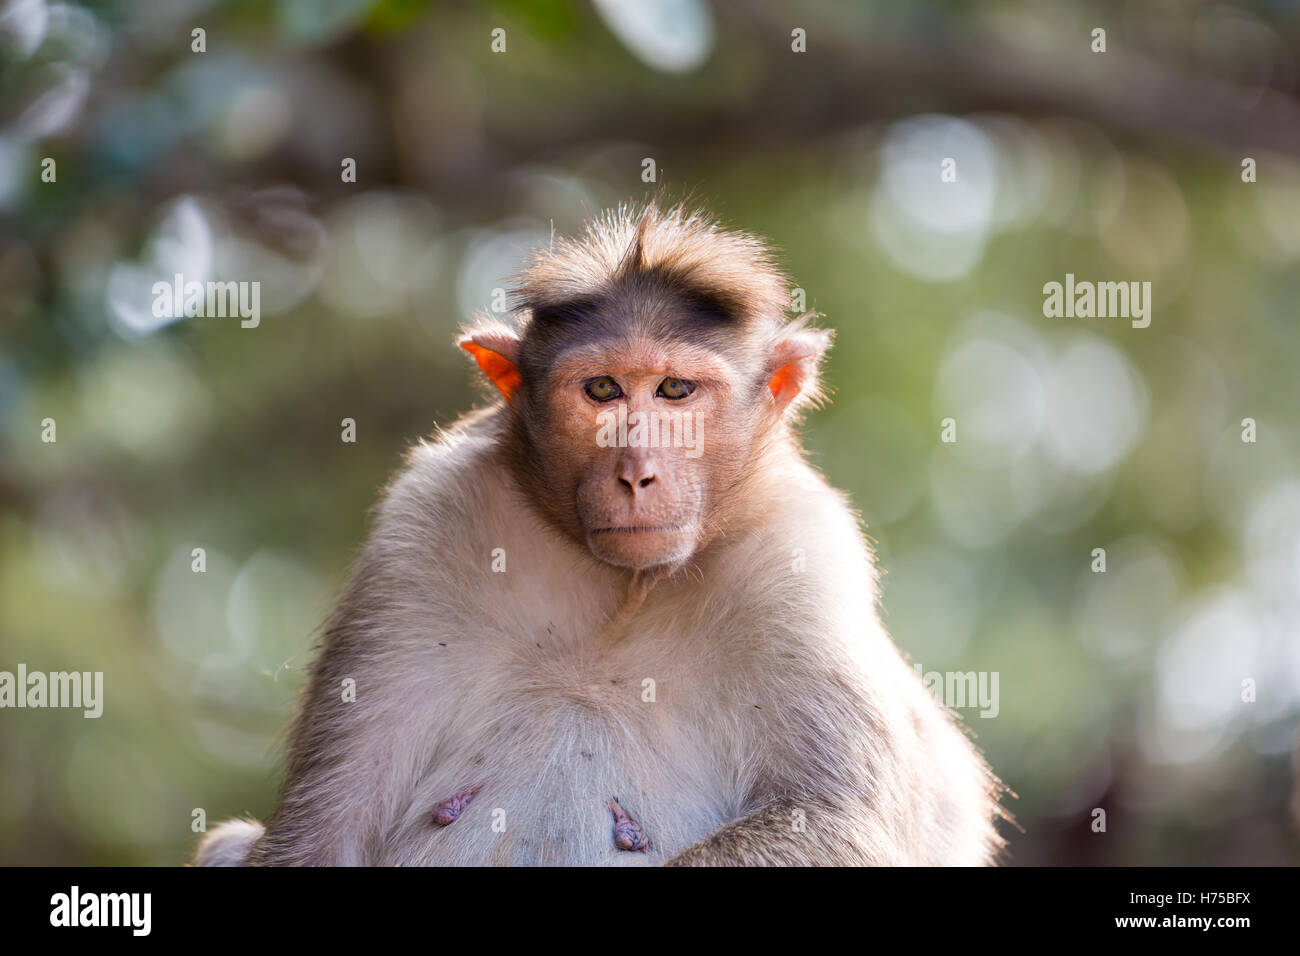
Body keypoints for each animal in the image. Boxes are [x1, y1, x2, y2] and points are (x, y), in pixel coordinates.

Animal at [195, 201, 1003, 868]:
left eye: (675, 391)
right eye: (603, 390)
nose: (636, 471)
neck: (620, 592)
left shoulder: (800, 557)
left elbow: (837, 824)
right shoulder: (422, 525)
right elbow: (320, 832)